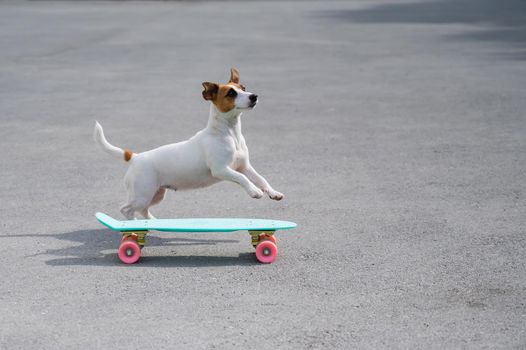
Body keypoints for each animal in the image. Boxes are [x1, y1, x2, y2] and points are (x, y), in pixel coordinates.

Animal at [95, 67, 284, 219]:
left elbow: (260, 178)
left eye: (243, 88)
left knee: (143, 210)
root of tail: (135, 157)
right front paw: (254, 191)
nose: (254, 96)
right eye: (231, 93)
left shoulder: (244, 166)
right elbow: (242, 178)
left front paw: (272, 192)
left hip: (155, 195)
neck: (229, 133)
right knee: (126, 209)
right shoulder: (221, 170)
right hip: (142, 194)